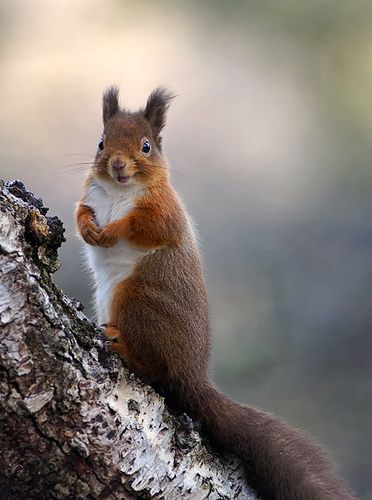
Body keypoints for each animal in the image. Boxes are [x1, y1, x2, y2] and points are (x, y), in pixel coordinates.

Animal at [75, 87, 354, 500]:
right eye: (100, 142)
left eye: (146, 146)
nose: (118, 165)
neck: (117, 191)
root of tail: (194, 374)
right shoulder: (90, 195)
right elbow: (80, 211)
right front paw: (87, 228)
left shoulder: (164, 211)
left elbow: (146, 226)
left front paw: (111, 231)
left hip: (135, 298)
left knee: (157, 369)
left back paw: (122, 346)